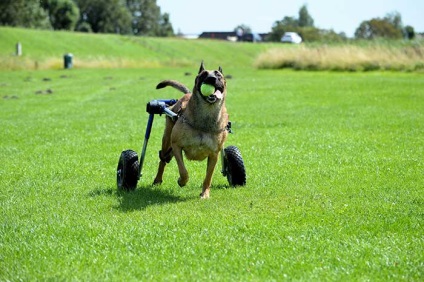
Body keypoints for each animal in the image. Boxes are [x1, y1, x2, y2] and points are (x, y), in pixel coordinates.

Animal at [153, 61, 229, 198]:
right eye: (204, 74)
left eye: (218, 75)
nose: (211, 79)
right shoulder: (176, 146)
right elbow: (183, 171)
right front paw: (182, 181)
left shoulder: (214, 154)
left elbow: (208, 177)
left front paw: (205, 194)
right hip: (166, 139)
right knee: (163, 159)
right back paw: (157, 179)